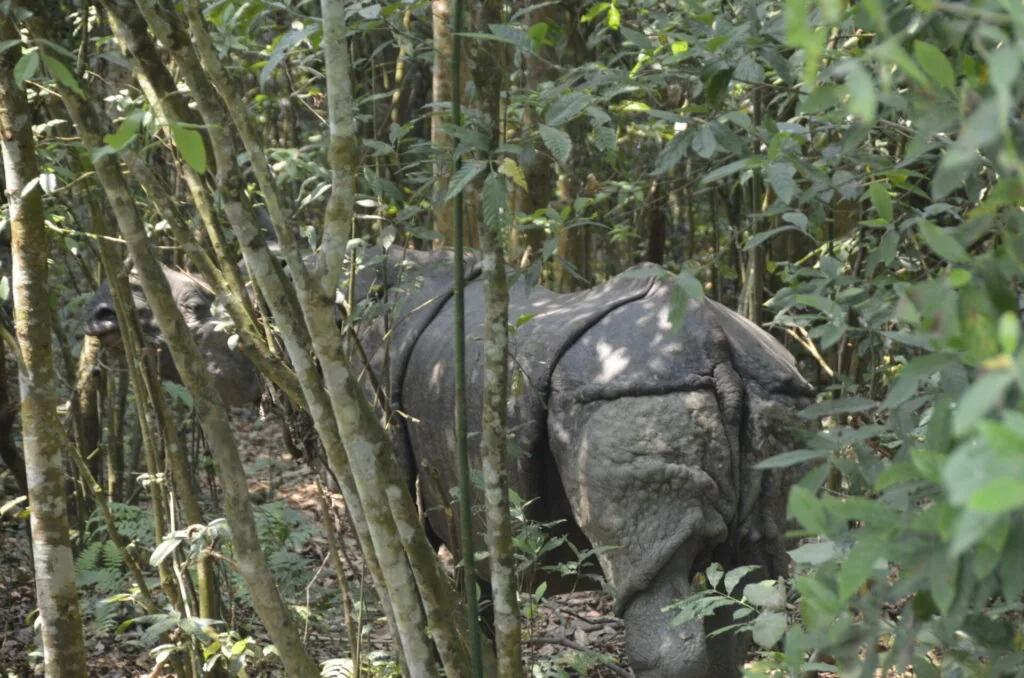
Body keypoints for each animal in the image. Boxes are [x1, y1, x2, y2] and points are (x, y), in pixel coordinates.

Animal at [85, 246, 814, 678]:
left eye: (187, 312)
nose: (98, 313)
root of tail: (716, 346)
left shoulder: (389, 476)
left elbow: (431, 600)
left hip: (625, 397)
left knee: (653, 580)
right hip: (780, 395)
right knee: (753, 574)